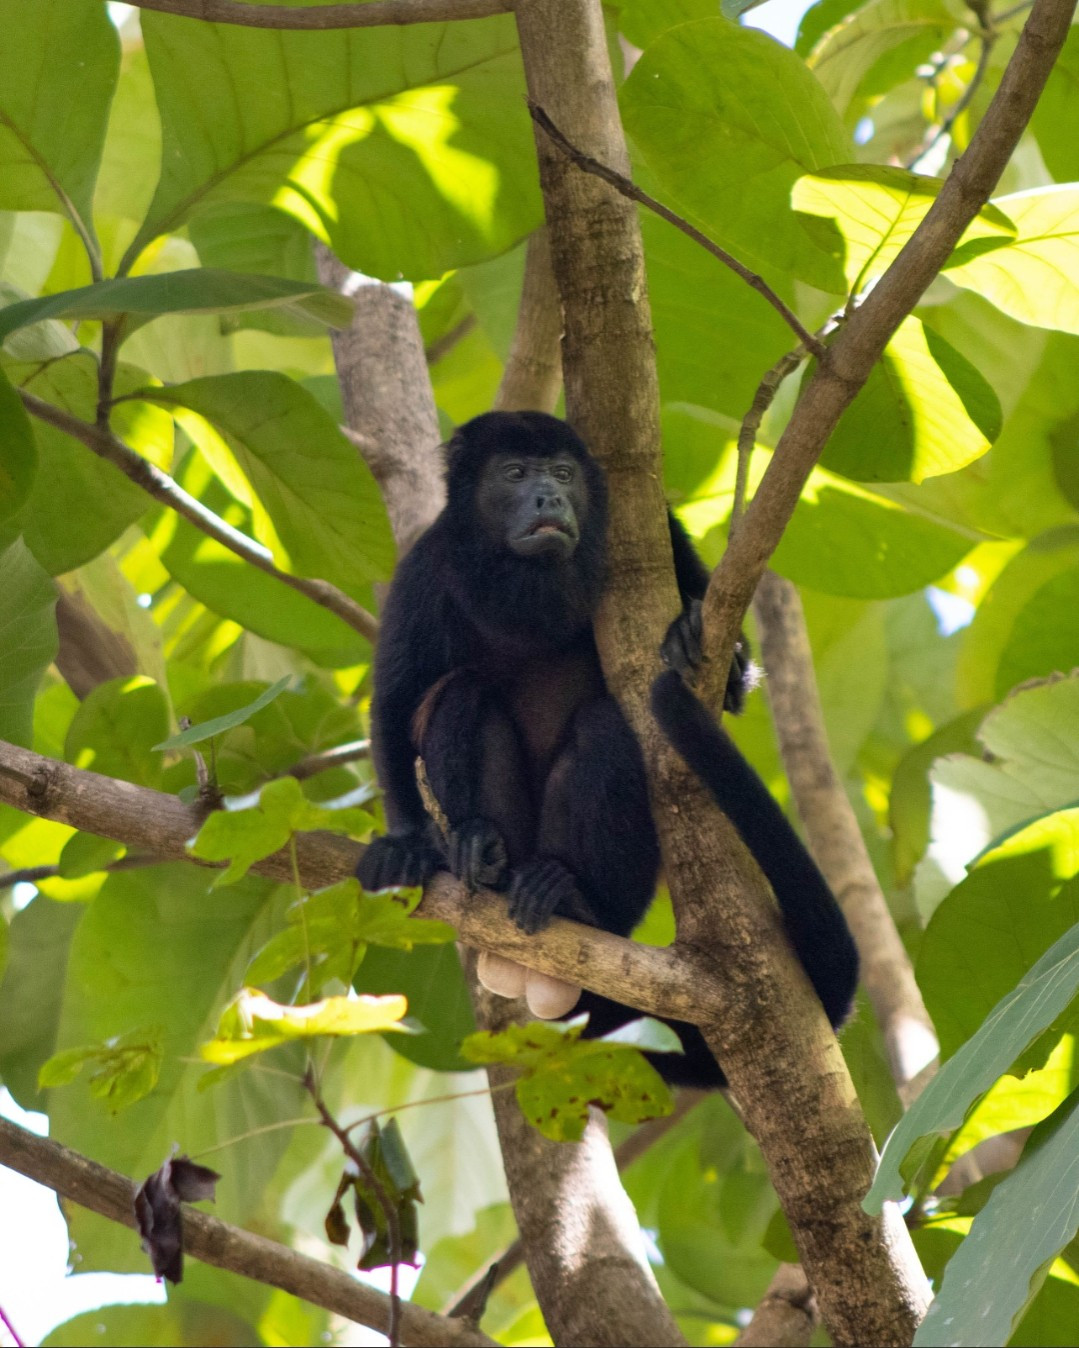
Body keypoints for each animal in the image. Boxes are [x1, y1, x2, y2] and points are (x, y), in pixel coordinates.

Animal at [361, 407, 857, 1083]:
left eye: (563, 473)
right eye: (514, 473)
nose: (548, 498)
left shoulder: (663, 529)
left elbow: (725, 683)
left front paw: (702, 641)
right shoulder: (425, 567)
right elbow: (394, 701)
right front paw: (407, 845)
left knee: (602, 727)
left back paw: (574, 898)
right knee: (462, 694)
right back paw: (476, 849)